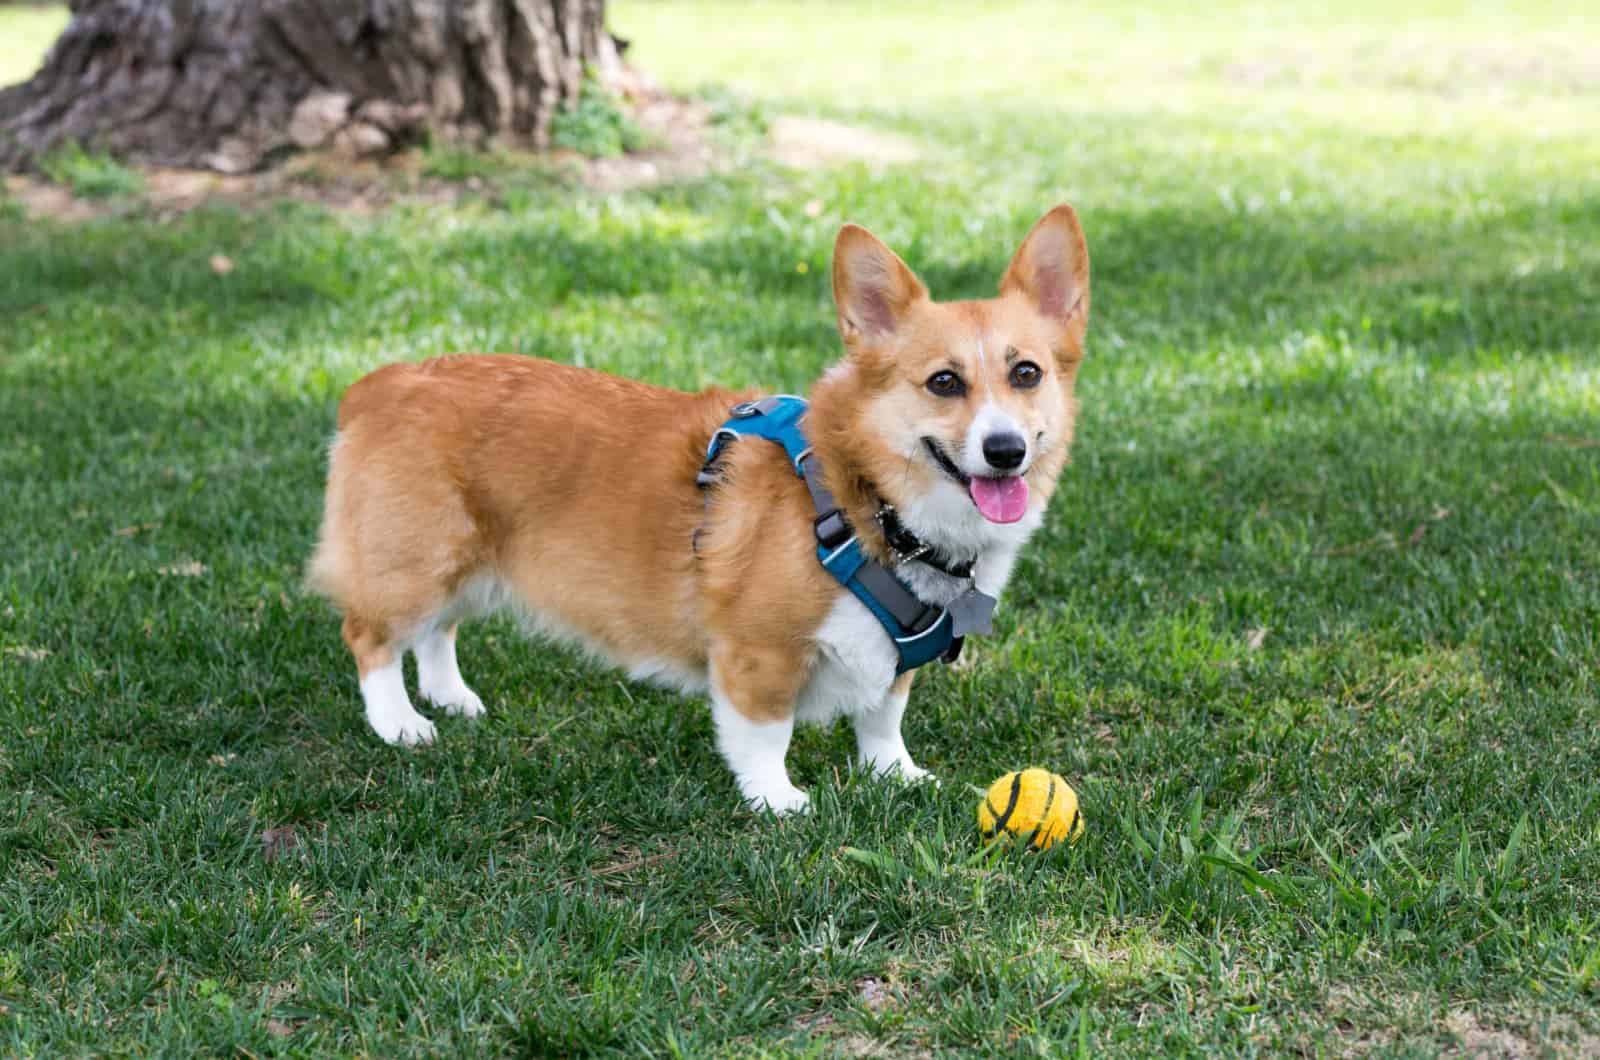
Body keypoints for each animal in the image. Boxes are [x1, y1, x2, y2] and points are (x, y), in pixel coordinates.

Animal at [308, 203, 1088, 813]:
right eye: (943, 382)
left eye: (1026, 374)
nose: (1005, 451)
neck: (868, 499)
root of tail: (383, 383)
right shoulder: (758, 651)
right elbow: (765, 732)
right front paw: (778, 800)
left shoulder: (893, 660)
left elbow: (882, 718)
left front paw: (896, 776)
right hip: (414, 562)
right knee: (371, 636)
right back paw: (400, 724)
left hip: (467, 561)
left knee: (438, 631)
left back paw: (449, 697)